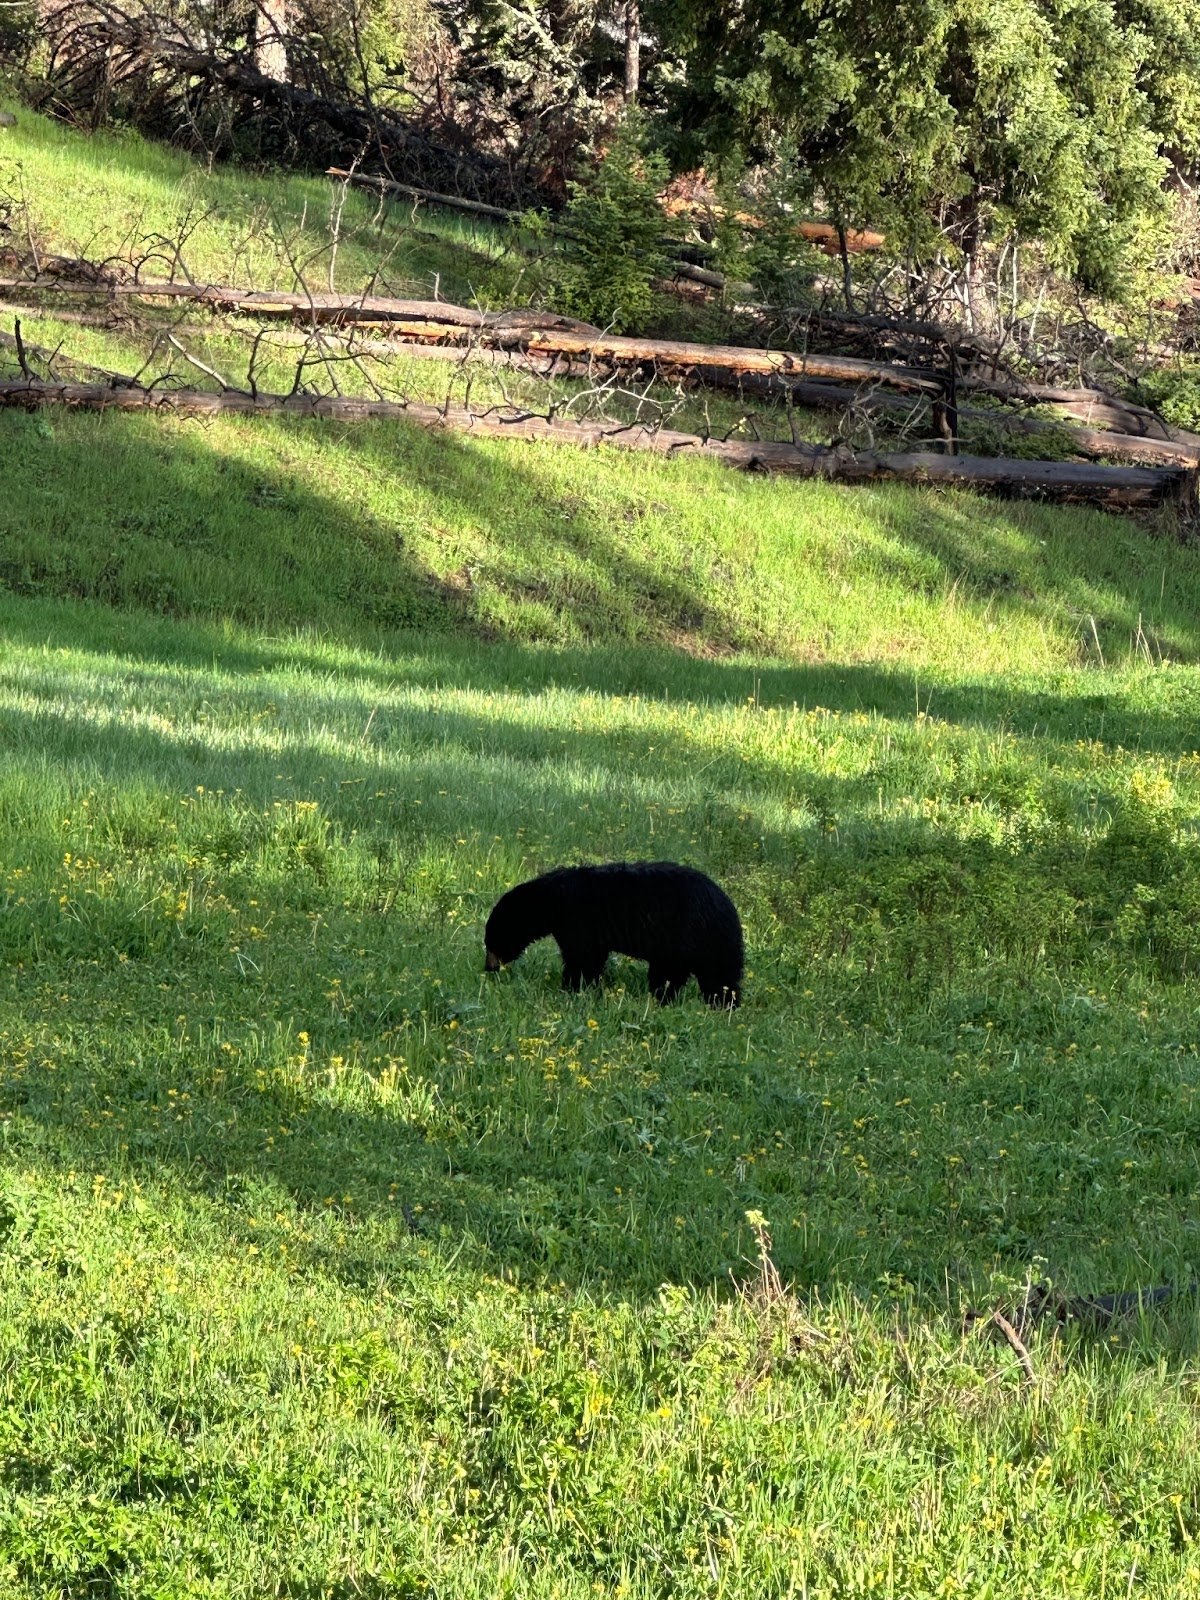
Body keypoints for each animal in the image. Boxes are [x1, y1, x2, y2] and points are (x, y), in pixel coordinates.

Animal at [486, 870, 748, 1004]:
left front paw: (571, 987)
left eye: (490, 941)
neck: (551, 901)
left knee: (693, 976)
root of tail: (729, 907)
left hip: (690, 937)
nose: (488, 967)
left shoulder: (578, 919)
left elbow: (582, 958)